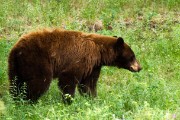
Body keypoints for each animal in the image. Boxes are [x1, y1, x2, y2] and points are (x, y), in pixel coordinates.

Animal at [8, 28, 141, 103]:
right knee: (40, 81)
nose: (140, 67)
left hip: (16, 65)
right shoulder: (81, 59)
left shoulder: (93, 66)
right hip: (37, 60)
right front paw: (69, 101)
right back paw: (29, 101)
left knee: (15, 83)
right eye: (132, 56)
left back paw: (16, 101)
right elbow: (68, 79)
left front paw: (93, 100)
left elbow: (88, 84)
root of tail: (16, 49)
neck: (99, 52)